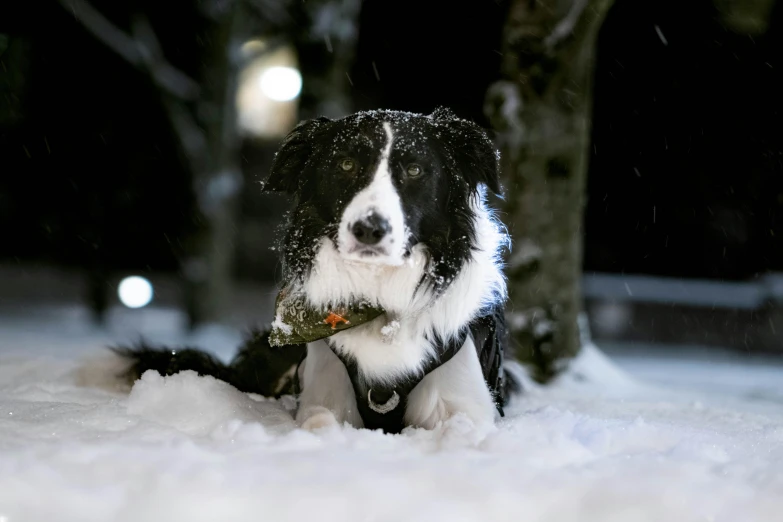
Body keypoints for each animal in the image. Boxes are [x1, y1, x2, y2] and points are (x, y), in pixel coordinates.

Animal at [115, 107, 516, 432]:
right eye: (346, 165)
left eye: (415, 170)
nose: (369, 229)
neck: (378, 298)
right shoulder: (323, 390)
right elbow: (320, 422)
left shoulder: (463, 404)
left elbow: (458, 430)